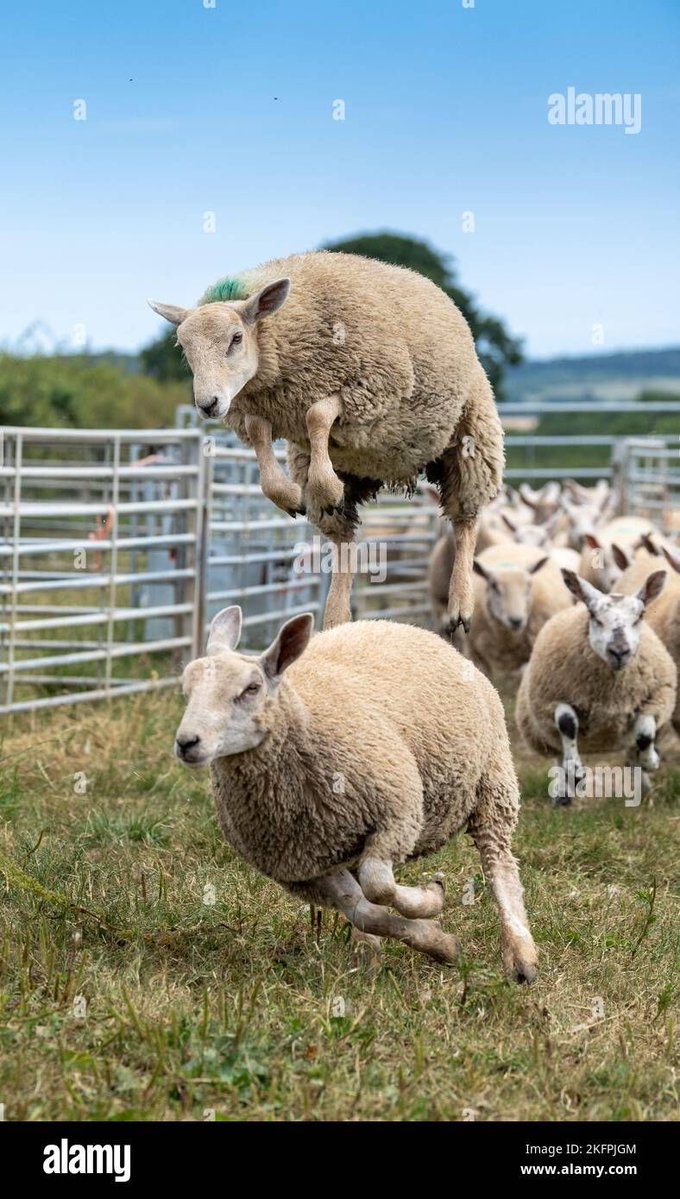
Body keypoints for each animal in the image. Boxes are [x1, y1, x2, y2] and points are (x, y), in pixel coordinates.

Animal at [149, 251, 504, 633]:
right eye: (184, 347)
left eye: (236, 338)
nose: (208, 404)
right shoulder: (257, 412)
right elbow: (262, 436)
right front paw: (290, 496)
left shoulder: (368, 388)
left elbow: (317, 415)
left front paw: (324, 486)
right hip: (343, 466)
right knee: (344, 539)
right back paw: (336, 617)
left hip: (473, 437)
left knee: (465, 520)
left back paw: (460, 605)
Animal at [173, 605, 538, 982]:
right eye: (186, 689)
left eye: (252, 688)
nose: (187, 743)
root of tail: (398, 625)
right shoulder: (308, 864)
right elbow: (365, 911)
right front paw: (441, 944)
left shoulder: (398, 813)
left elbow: (379, 887)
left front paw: (431, 900)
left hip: (493, 780)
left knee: (498, 863)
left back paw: (521, 956)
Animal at [516, 569, 676, 804]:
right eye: (593, 615)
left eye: (640, 615)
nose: (619, 651)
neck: (610, 694)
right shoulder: (553, 699)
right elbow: (567, 724)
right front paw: (575, 773)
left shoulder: (655, 698)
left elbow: (645, 734)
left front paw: (651, 761)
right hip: (544, 729)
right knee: (559, 754)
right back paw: (562, 794)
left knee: (632, 749)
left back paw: (644, 787)